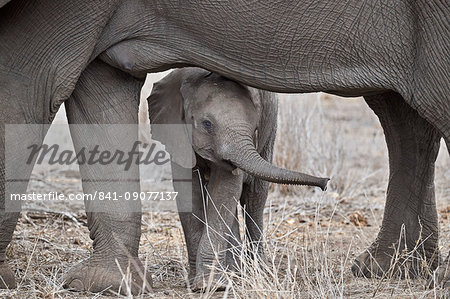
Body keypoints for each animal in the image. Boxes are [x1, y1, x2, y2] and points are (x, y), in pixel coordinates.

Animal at [148, 67, 326, 290]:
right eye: (207, 124)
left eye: (254, 129)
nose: (325, 183)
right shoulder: (177, 132)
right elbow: (189, 192)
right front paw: (198, 283)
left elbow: (225, 190)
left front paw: (212, 285)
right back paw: (234, 270)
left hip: (271, 131)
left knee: (255, 198)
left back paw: (256, 270)